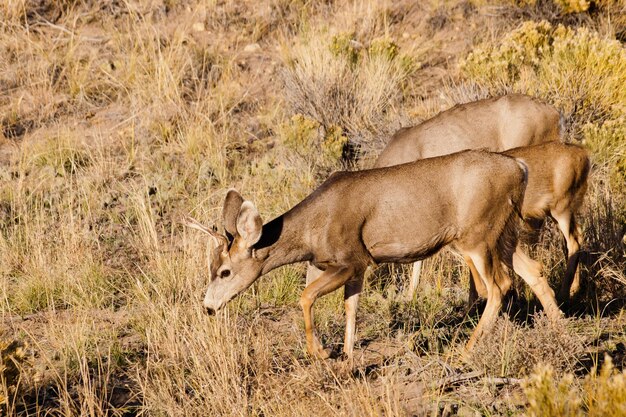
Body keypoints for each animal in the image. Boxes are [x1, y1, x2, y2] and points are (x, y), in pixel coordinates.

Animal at [184, 150, 560, 360]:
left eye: (224, 272)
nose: (208, 307)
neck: (310, 233)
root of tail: (519, 167)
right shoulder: (354, 267)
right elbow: (350, 306)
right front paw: (347, 355)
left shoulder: (350, 258)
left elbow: (305, 297)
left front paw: (321, 352)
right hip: (503, 230)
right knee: (532, 270)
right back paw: (559, 327)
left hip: (476, 234)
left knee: (498, 287)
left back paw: (466, 351)